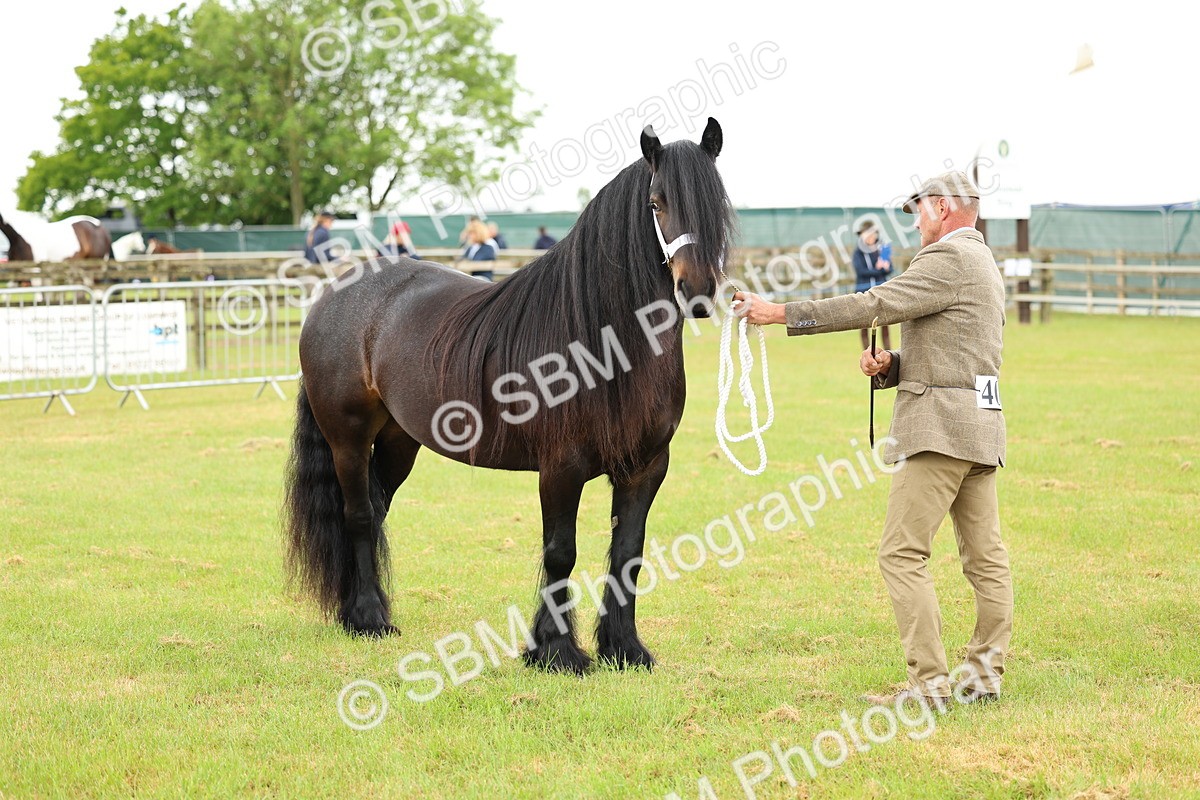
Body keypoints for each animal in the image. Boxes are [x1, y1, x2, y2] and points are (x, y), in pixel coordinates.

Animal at [284, 118, 732, 673]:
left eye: (717, 200)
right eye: (655, 202)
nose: (697, 290)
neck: (607, 342)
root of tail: (334, 294)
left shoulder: (647, 465)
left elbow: (629, 551)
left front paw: (624, 648)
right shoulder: (561, 466)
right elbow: (561, 551)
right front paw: (556, 652)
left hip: (398, 441)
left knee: (376, 506)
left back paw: (359, 610)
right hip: (346, 438)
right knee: (360, 515)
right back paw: (368, 618)